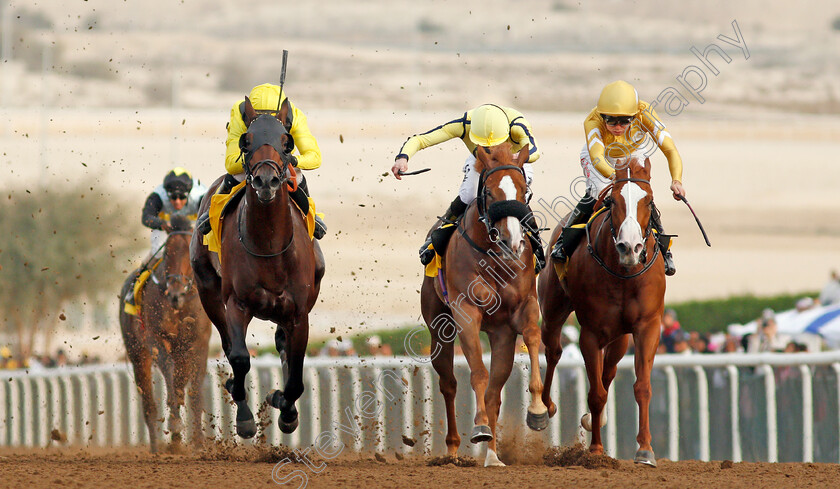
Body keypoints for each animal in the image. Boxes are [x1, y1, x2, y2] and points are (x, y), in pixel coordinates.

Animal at [117, 215, 210, 452]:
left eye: (189, 252)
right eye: (167, 252)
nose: (175, 293)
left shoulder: (199, 343)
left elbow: (194, 391)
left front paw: (198, 442)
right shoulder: (155, 339)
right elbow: (169, 371)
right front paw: (175, 424)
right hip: (137, 352)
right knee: (149, 403)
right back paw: (157, 447)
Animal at [190, 97, 324, 436]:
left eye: (286, 142)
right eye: (246, 142)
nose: (267, 180)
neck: (270, 247)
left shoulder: (298, 313)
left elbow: (296, 376)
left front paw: (285, 408)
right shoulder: (236, 303)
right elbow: (239, 357)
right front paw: (245, 416)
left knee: (282, 346)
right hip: (208, 292)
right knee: (228, 345)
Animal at [418, 144, 544, 466]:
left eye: (524, 190)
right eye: (488, 191)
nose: (513, 242)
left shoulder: (522, 308)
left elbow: (533, 338)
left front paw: (538, 410)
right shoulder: (466, 313)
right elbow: (477, 373)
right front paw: (480, 427)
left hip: (501, 335)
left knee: (494, 394)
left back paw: (493, 456)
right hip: (438, 327)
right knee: (449, 383)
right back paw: (452, 450)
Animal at [540, 156, 668, 466]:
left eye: (648, 200)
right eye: (613, 201)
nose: (630, 247)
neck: (624, 274)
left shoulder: (647, 326)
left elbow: (641, 385)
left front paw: (645, 450)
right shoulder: (591, 332)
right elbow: (595, 393)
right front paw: (596, 450)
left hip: (620, 337)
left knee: (608, 371)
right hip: (552, 310)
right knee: (553, 351)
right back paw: (542, 409)